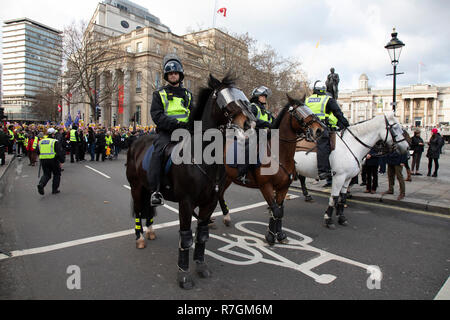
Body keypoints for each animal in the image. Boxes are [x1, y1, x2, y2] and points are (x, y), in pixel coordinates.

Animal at [125, 74, 253, 290]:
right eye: (224, 97)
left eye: (241, 94)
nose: (250, 123)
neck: (203, 156)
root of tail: (136, 140)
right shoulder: (186, 202)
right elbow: (185, 238)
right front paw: (183, 276)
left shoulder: (209, 202)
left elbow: (201, 234)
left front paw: (201, 266)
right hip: (136, 187)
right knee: (138, 211)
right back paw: (140, 237)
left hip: (148, 188)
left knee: (149, 209)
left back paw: (150, 231)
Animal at [217, 95, 324, 245]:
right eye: (298, 113)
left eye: (308, 108)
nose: (319, 130)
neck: (280, 154)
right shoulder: (265, 186)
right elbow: (275, 210)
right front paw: (270, 236)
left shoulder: (283, 187)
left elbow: (279, 210)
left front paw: (280, 235)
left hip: (228, 177)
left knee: (219, 193)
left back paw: (226, 216)